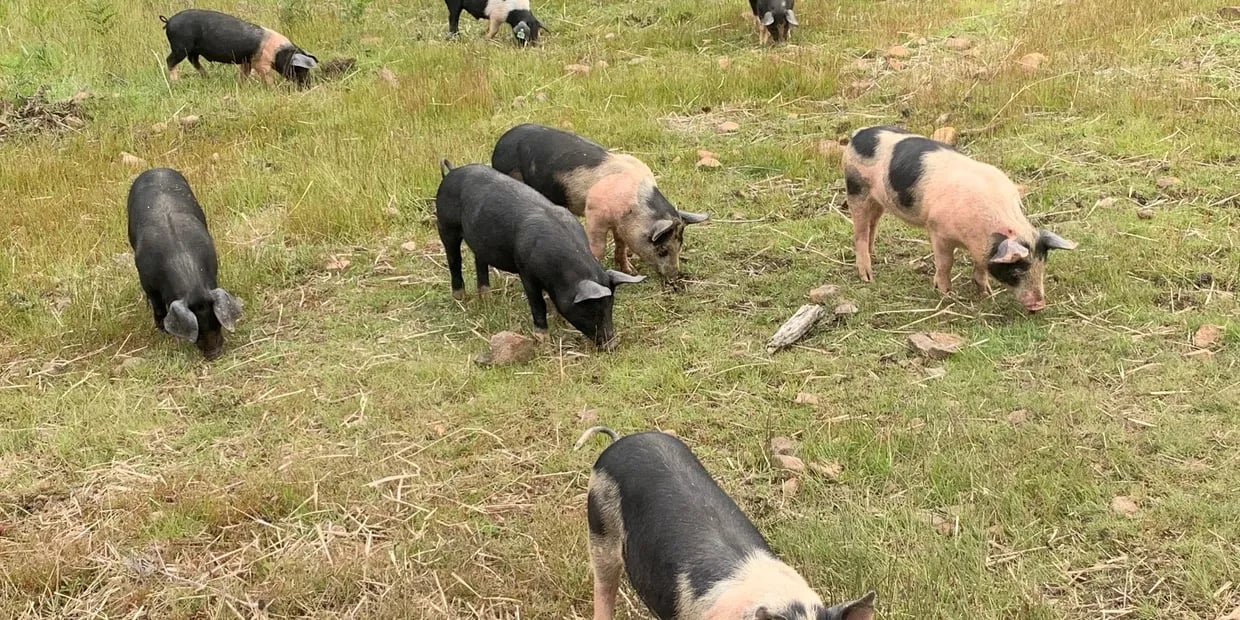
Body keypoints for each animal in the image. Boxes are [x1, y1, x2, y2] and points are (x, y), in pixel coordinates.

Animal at [127, 168, 244, 360]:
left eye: (217, 323)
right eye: (197, 332)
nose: (214, 354)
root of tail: (156, 169)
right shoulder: (147, 283)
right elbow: (158, 307)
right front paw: (163, 331)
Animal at [160, 9, 318, 87]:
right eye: (300, 69)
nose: (308, 86)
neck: (278, 52)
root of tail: (169, 21)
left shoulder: (246, 61)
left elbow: (244, 74)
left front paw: (242, 86)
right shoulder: (261, 63)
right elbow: (267, 77)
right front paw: (274, 89)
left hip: (192, 50)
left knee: (194, 61)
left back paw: (207, 77)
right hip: (180, 47)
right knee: (170, 61)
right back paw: (176, 83)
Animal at [435, 160, 644, 349]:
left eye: (610, 307)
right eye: (590, 310)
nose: (613, 345)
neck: (562, 271)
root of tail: (452, 171)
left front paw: (560, 321)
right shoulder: (526, 272)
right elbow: (537, 304)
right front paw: (543, 340)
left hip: (480, 240)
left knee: (480, 261)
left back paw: (486, 298)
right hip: (446, 225)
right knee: (454, 260)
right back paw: (460, 298)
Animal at [491, 124, 709, 282]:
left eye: (680, 245)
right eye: (662, 249)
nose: (675, 276)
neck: (632, 207)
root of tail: (500, 142)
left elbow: (621, 245)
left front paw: (630, 271)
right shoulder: (594, 214)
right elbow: (598, 246)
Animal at [843, 126, 1077, 312]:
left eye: (1042, 265)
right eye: (1017, 270)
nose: (1039, 305)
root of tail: (857, 134)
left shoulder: (982, 248)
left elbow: (980, 266)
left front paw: (986, 293)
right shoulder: (938, 230)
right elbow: (946, 263)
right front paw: (946, 294)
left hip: (877, 200)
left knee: (872, 224)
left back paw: (874, 255)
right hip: (856, 188)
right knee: (859, 232)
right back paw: (868, 276)